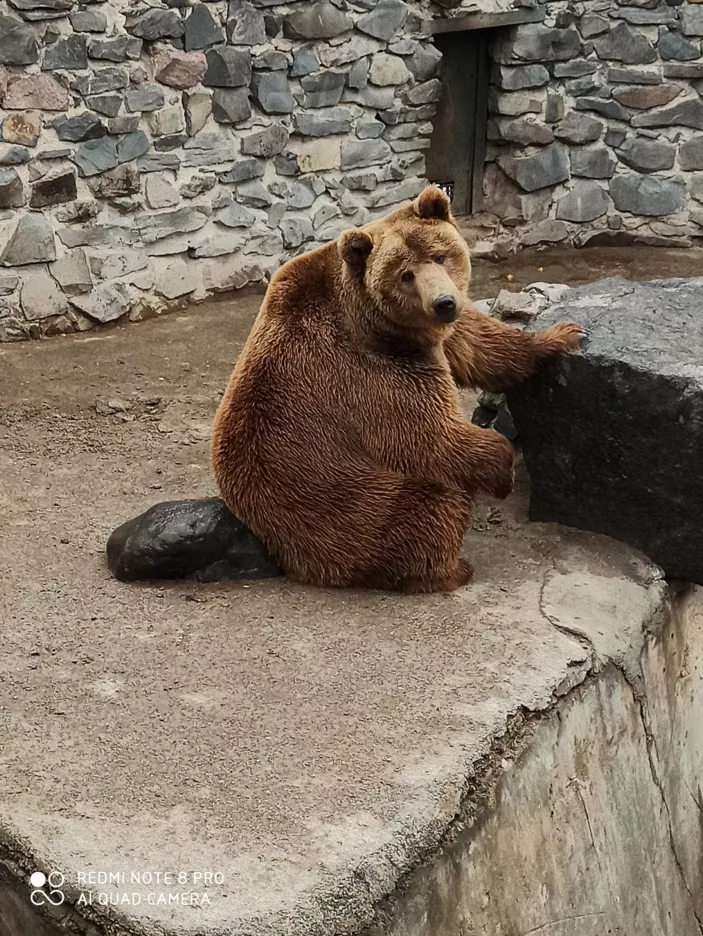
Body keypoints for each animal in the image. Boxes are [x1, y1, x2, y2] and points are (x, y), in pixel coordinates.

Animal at [210, 186, 584, 592]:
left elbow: (482, 345)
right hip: (345, 506)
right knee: (429, 509)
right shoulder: (370, 371)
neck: (383, 325)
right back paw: (451, 569)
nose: (444, 303)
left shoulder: (431, 337)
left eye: (439, 256)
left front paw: (563, 335)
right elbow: (428, 437)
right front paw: (502, 472)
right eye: (406, 275)